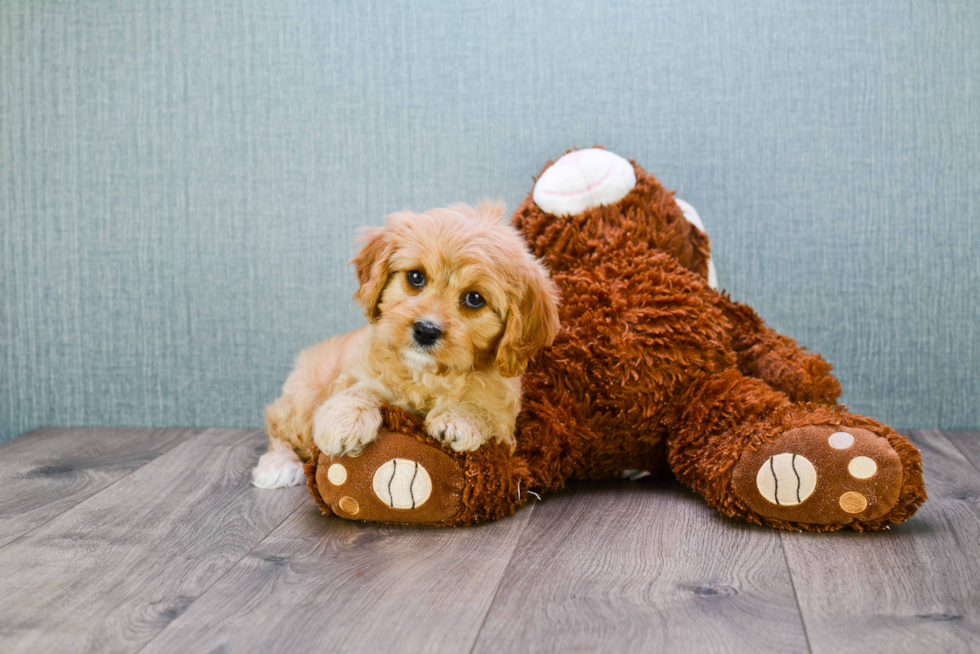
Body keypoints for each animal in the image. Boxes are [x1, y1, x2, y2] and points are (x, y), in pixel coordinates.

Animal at [253, 202, 560, 490]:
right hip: (303, 397)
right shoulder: (357, 372)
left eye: (474, 299)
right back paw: (278, 465)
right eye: (415, 277)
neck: (427, 375)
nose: (426, 330)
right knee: (277, 424)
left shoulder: (506, 422)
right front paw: (345, 419)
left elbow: (485, 410)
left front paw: (459, 418)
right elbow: (362, 388)